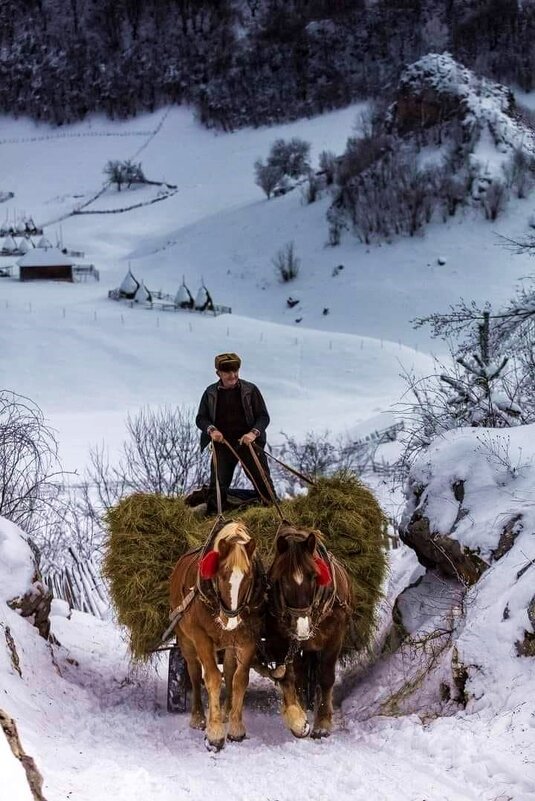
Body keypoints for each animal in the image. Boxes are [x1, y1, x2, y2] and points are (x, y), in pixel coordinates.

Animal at [171, 520, 264, 752]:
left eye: (249, 577)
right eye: (221, 575)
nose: (230, 620)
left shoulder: (249, 639)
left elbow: (240, 679)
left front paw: (235, 727)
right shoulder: (201, 638)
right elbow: (211, 677)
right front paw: (214, 734)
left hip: (229, 643)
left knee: (229, 671)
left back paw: (226, 711)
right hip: (185, 640)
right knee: (194, 672)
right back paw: (198, 717)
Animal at [266, 524, 352, 736]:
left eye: (314, 576)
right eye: (282, 579)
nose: (302, 628)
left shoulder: (335, 638)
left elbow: (326, 677)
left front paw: (322, 723)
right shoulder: (286, 642)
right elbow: (294, 678)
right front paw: (300, 719)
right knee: (302, 675)